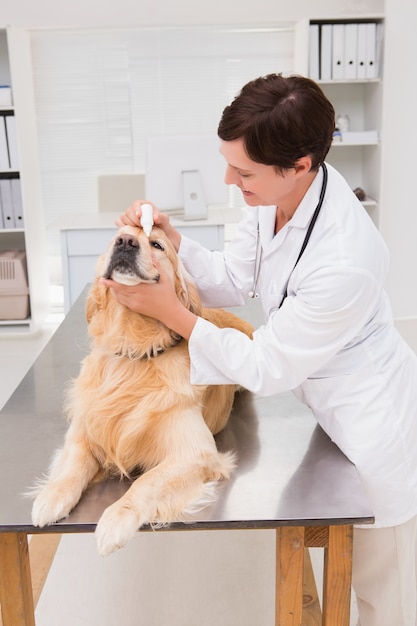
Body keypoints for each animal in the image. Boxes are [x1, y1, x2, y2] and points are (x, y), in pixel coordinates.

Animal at [30, 222, 252, 552]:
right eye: (115, 237)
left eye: (157, 245)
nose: (125, 242)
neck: (134, 353)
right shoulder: (83, 429)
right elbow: (73, 465)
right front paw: (51, 496)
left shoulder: (197, 453)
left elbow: (147, 481)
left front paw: (116, 519)